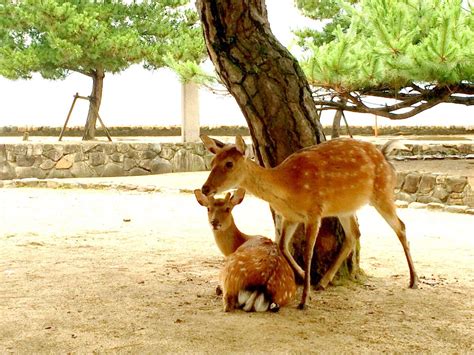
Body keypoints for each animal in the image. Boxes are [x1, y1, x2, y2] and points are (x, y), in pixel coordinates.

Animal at [200, 135, 418, 310]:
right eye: (212, 161)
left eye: (229, 163)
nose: (205, 188)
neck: (289, 187)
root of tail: (385, 155)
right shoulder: (290, 217)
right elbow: (282, 245)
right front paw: (305, 276)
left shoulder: (314, 212)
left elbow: (308, 252)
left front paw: (304, 300)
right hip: (346, 207)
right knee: (353, 234)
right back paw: (323, 281)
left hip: (383, 192)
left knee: (401, 226)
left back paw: (413, 280)